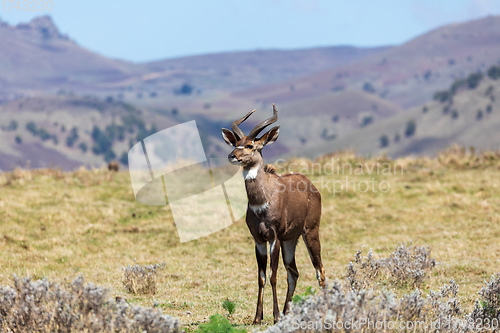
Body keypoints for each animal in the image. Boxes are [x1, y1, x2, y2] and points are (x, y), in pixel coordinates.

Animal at [221, 105, 326, 322]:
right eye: (236, 143)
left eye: (251, 145)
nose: (232, 155)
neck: (262, 202)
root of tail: (313, 187)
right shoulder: (259, 240)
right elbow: (261, 277)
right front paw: (257, 317)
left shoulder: (274, 237)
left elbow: (273, 275)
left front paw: (275, 315)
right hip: (290, 239)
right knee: (294, 272)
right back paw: (287, 312)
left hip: (310, 231)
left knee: (319, 269)